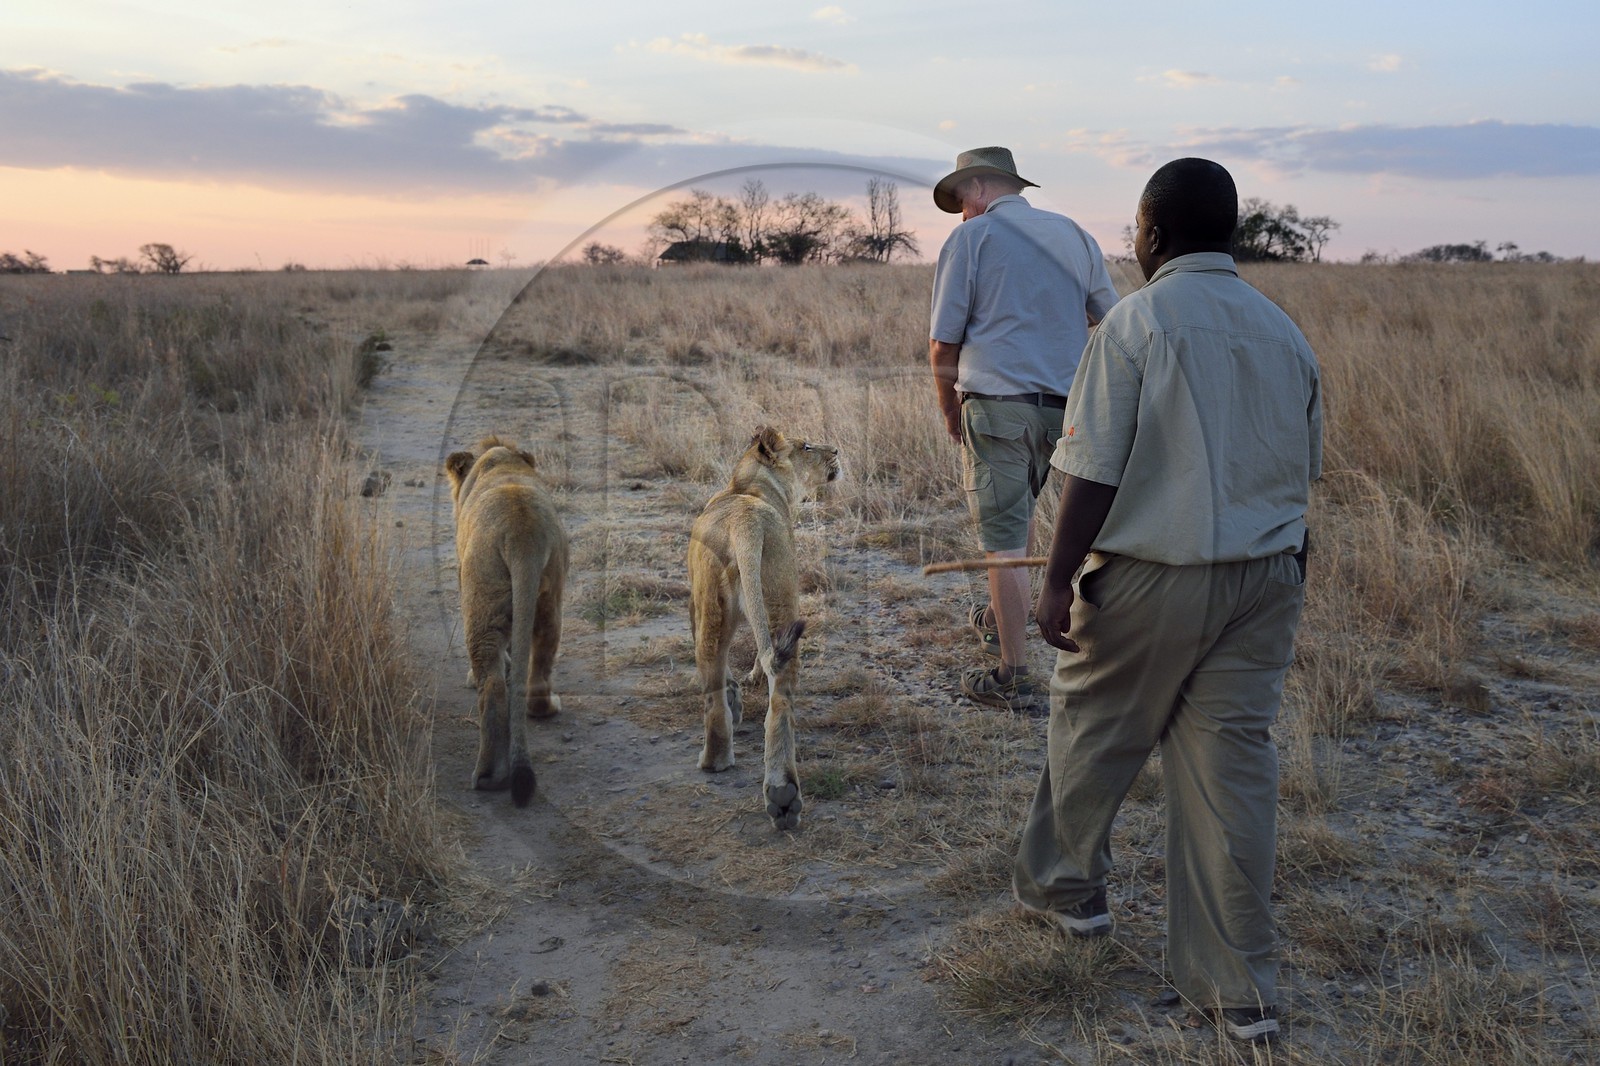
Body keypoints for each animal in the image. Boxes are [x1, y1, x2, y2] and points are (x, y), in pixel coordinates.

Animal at [444, 436, 569, 808]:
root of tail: (520, 531)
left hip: (483, 593)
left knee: (493, 683)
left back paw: (488, 776)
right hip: (550, 593)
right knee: (541, 656)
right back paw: (544, 707)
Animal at [688, 426, 841, 830]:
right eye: (806, 446)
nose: (837, 450)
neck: (747, 486)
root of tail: (746, 522)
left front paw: (738, 695)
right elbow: (760, 654)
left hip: (714, 605)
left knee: (719, 680)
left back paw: (720, 763)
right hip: (776, 593)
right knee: (779, 689)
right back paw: (781, 793)